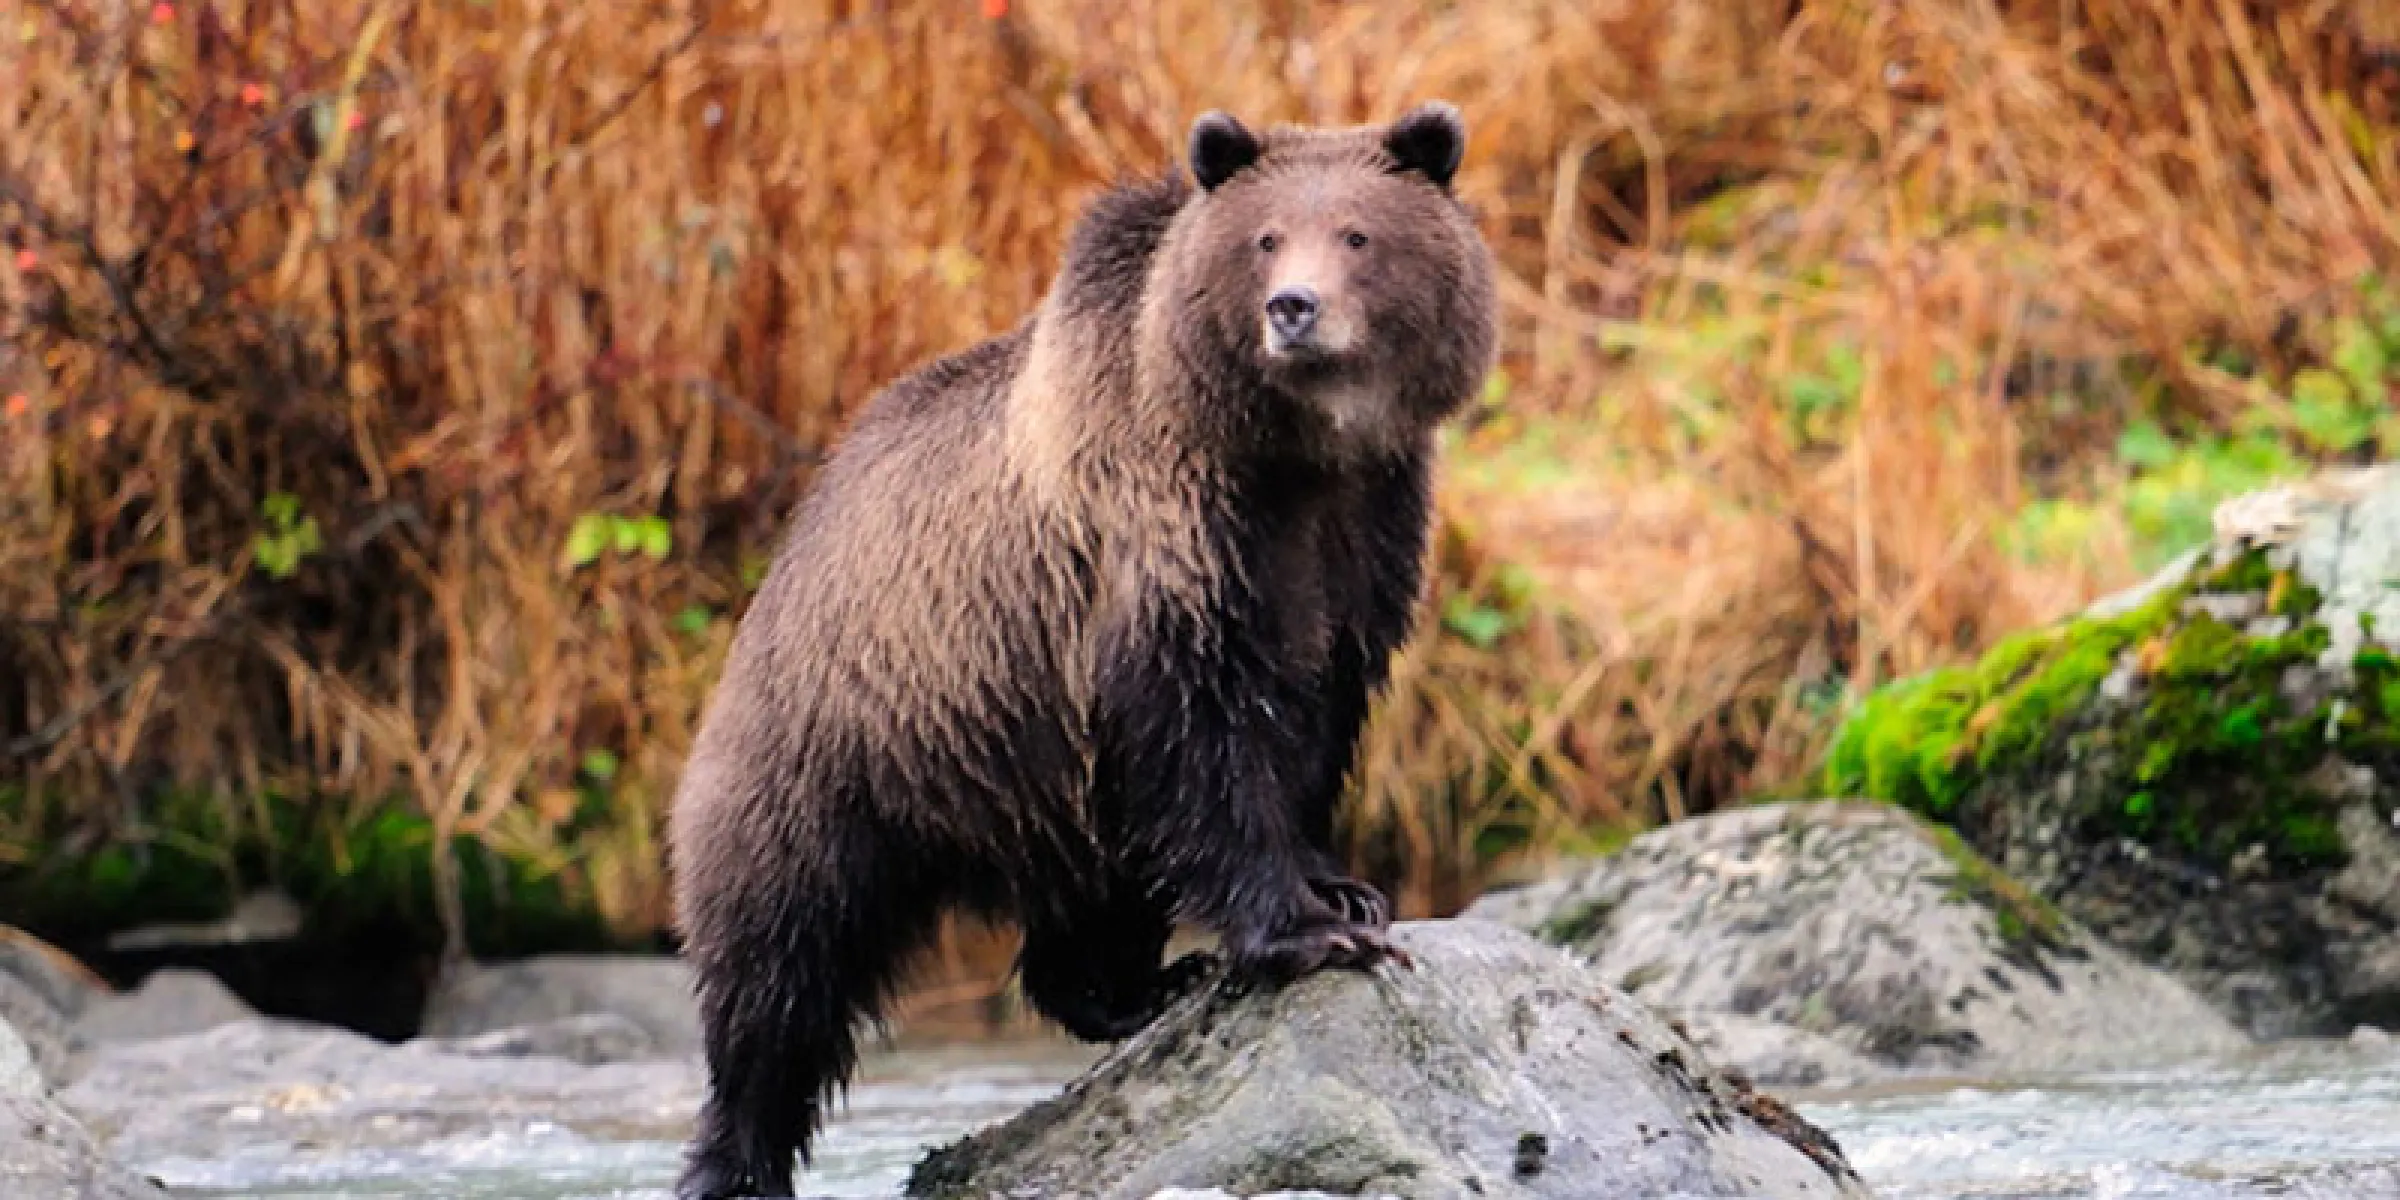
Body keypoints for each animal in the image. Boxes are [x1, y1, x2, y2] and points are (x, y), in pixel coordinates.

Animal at [665, 100, 1499, 1199]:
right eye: (1266, 237)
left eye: (1359, 234)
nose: (1295, 308)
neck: (1292, 453)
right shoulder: (1174, 541)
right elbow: (1204, 736)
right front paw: (1312, 928)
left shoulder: (1362, 540)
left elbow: (1314, 718)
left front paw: (1346, 887)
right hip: (836, 752)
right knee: (779, 974)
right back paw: (734, 1159)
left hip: (1036, 776)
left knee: (1094, 889)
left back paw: (1135, 987)